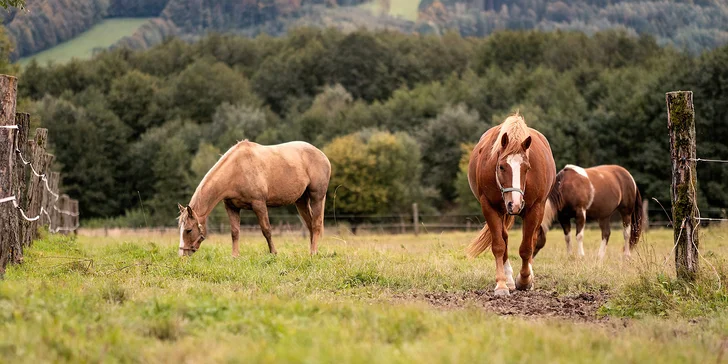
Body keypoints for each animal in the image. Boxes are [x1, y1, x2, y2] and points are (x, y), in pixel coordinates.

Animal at [178, 139, 332, 256]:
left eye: (189, 230)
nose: (182, 254)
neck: (236, 170)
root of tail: (322, 155)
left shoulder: (259, 205)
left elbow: (266, 230)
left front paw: (273, 253)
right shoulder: (231, 207)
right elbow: (235, 232)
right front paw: (235, 256)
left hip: (317, 197)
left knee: (316, 224)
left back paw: (313, 252)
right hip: (301, 201)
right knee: (310, 224)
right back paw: (311, 251)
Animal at [466, 113, 556, 296]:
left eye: (527, 168)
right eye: (501, 166)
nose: (514, 204)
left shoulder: (534, 209)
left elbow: (526, 248)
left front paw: (525, 280)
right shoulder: (489, 207)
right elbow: (499, 245)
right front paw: (502, 284)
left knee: (532, 239)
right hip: (502, 211)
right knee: (505, 238)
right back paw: (508, 278)